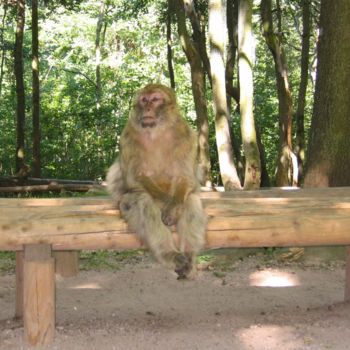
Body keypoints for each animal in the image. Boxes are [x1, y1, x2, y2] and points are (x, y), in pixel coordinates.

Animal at [105, 82, 206, 278]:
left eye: (155, 99)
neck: (157, 132)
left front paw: (173, 207)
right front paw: (167, 204)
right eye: (144, 100)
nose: (148, 108)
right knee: (142, 200)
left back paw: (189, 256)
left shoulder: (187, 136)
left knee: (190, 199)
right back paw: (170, 254)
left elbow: (185, 177)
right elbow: (135, 178)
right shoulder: (127, 137)